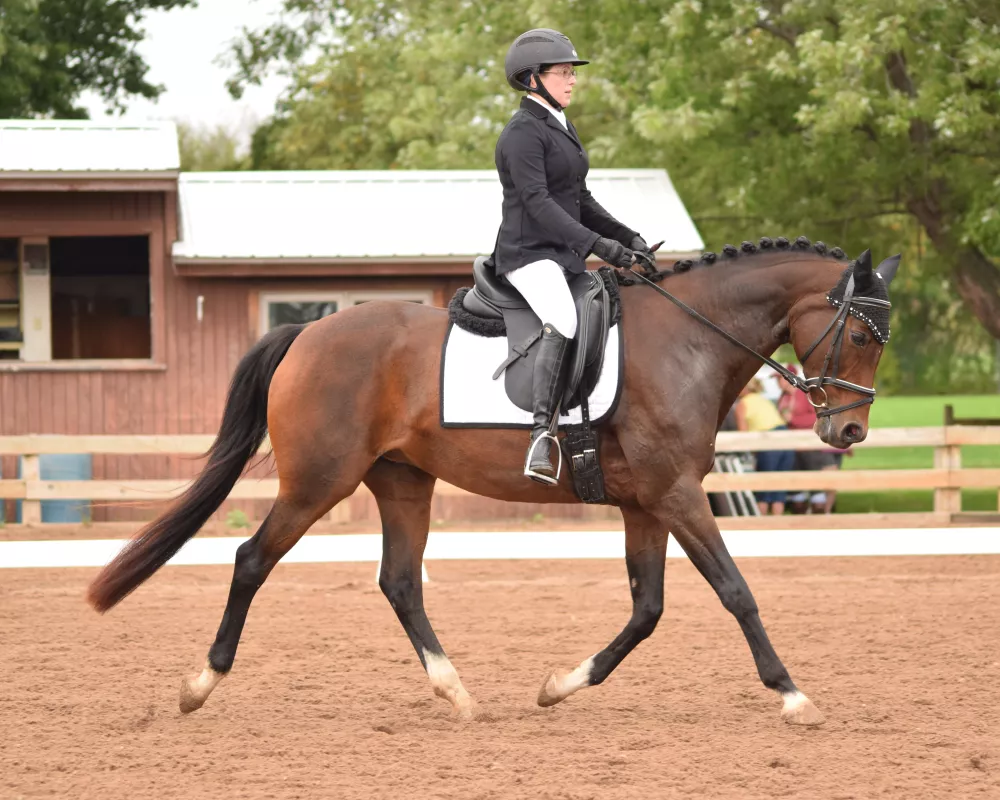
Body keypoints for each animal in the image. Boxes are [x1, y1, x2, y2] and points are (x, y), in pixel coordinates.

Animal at [84, 234, 900, 728]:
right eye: (862, 334)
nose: (849, 435)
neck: (688, 340)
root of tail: (309, 330)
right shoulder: (676, 495)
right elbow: (735, 591)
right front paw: (792, 694)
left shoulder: (647, 503)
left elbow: (647, 609)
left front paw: (560, 684)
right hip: (317, 483)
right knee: (252, 560)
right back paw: (199, 685)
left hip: (402, 483)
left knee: (400, 582)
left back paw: (456, 692)